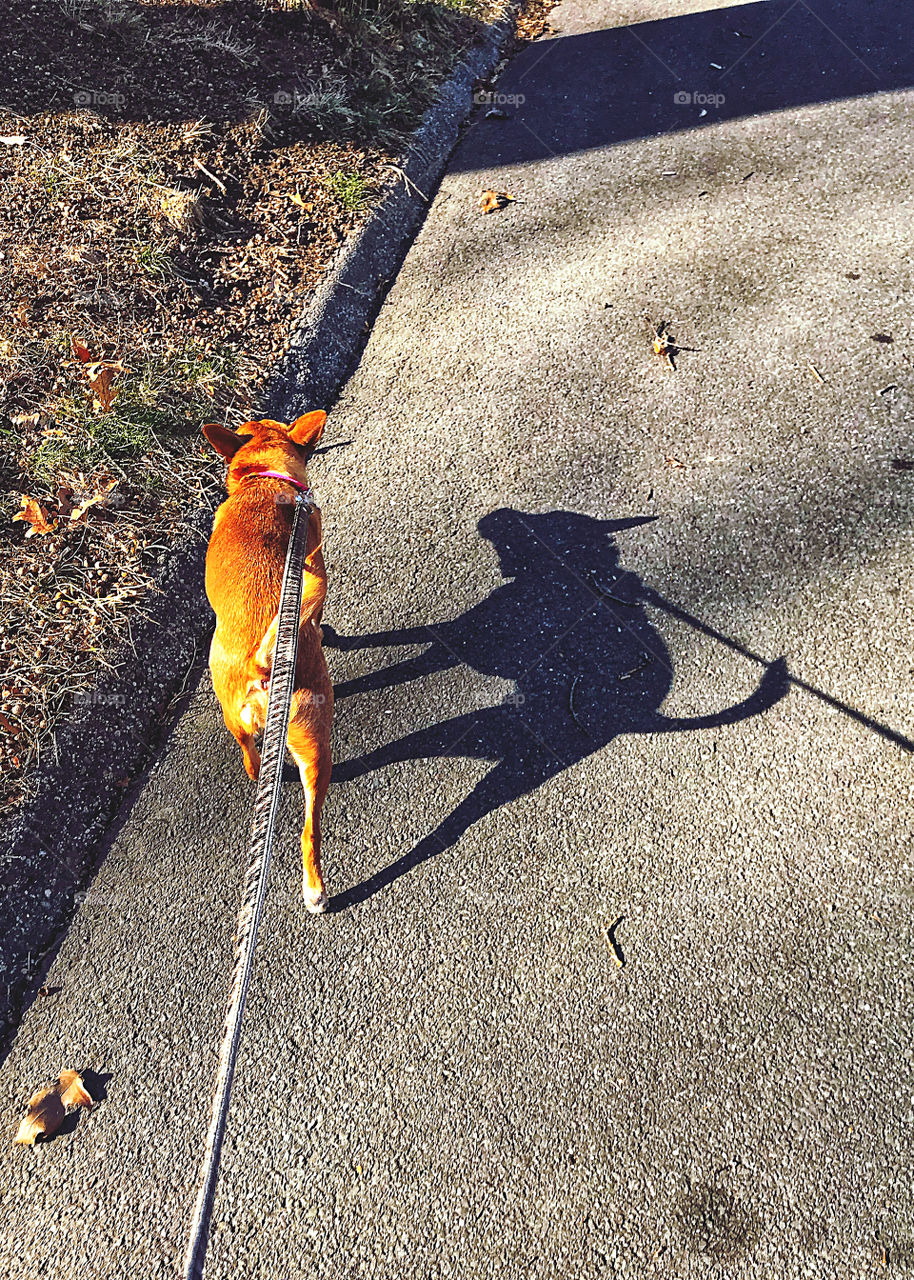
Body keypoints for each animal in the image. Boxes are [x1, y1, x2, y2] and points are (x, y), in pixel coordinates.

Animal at [200, 409, 332, 911]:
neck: (262, 479)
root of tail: (264, 665)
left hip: (238, 718)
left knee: (251, 759)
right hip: (318, 739)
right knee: (309, 830)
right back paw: (315, 890)